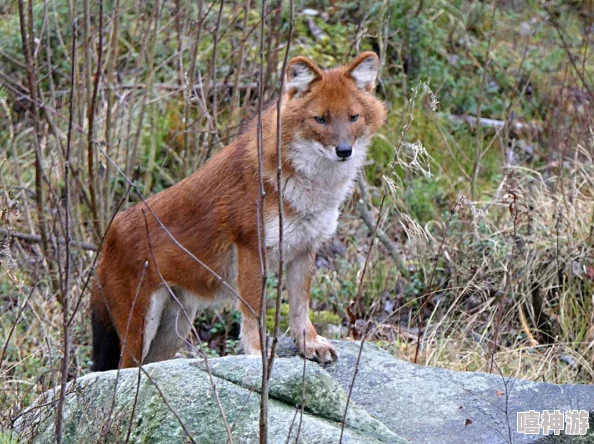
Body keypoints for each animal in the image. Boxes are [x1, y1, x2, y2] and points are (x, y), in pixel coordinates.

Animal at [88, 52, 384, 372]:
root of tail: (107, 239)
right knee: (123, 370)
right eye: (321, 119)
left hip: (174, 330)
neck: (312, 187)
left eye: (353, 117)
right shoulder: (251, 248)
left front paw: (310, 344)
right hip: (141, 327)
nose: (344, 150)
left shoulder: (305, 249)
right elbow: (253, 310)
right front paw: (256, 354)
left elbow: (300, 307)